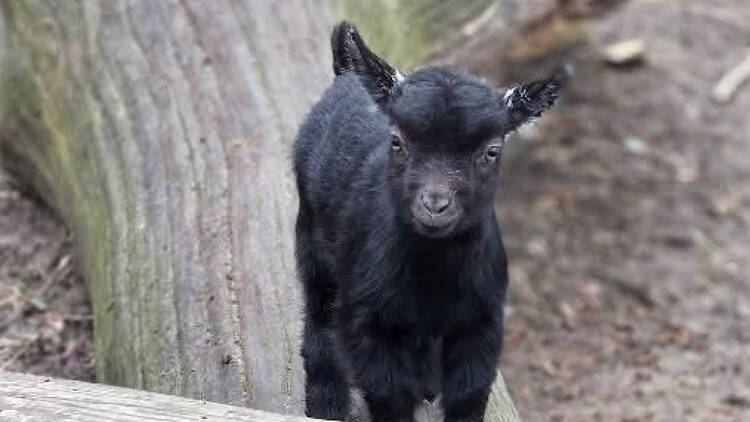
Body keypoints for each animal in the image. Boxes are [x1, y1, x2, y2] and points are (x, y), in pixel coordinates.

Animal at [294, 21, 568, 422]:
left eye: (492, 151)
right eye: (396, 141)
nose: (435, 204)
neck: (434, 269)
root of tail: (345, 75)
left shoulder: (481, 321)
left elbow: (469, 392)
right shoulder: (367, 320)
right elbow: (388, 393)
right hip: (313, 241)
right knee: (318, 319)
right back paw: (325, 403)